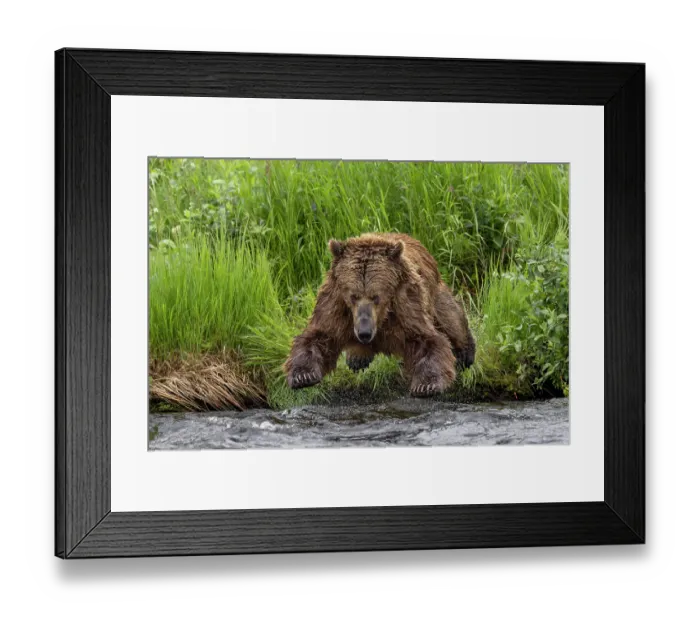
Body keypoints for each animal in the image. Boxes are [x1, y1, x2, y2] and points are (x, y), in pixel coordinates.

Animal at [284, 233, 476, 397]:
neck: (381, 317)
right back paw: (357, 358)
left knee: (451, 320)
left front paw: (426, 385)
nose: (364, 332)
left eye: (376, 296)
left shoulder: (406, 303)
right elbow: (319, 336)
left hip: (434, 295)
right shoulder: (335, 304)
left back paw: (466, 353)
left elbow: (427, 339)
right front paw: (302, 376)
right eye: (353, 296)